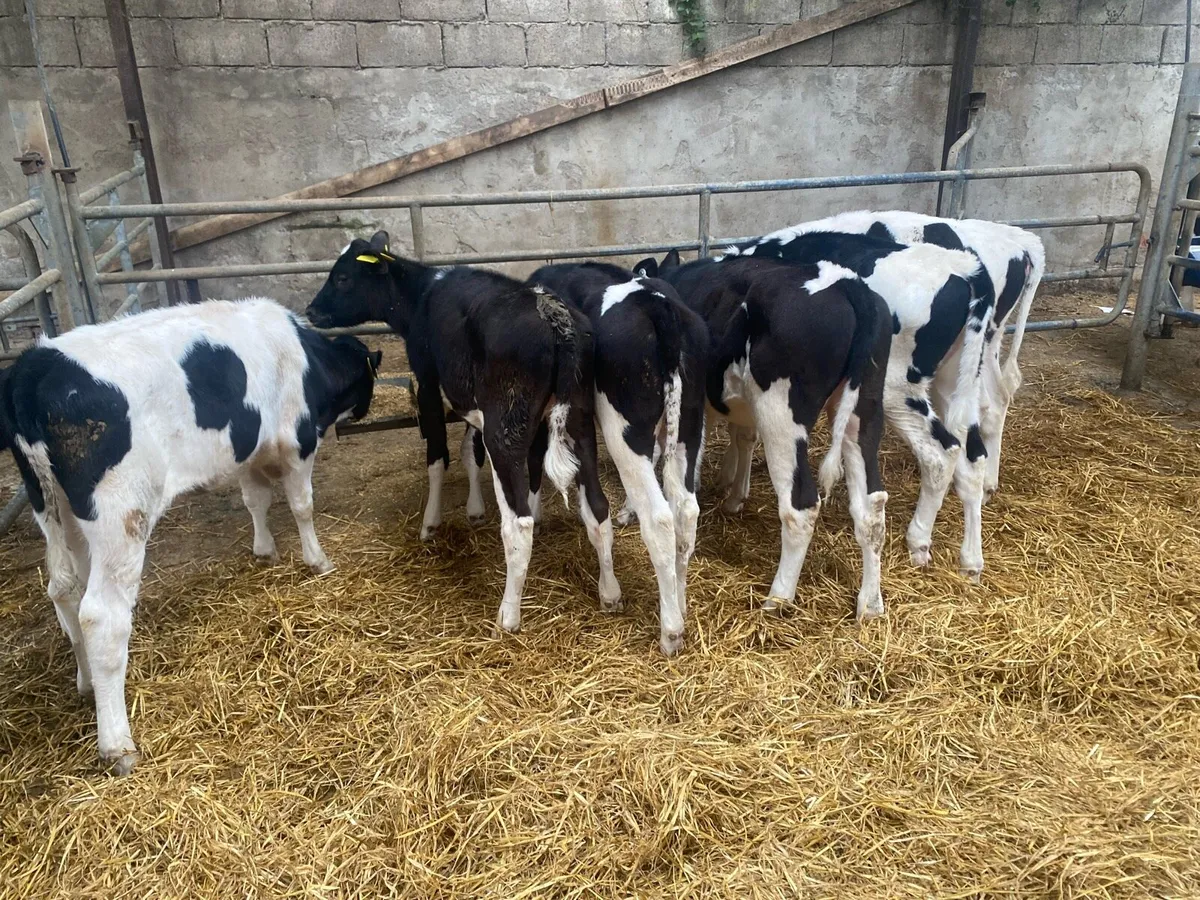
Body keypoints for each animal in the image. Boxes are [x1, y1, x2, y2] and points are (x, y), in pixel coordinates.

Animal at [0, 298, 381, 774]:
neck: (302, 354)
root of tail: (34, 366)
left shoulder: (248, 448)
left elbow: (255, 499)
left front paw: (265, 551)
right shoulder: (296, 441)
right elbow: (301, 506)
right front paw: (318, 561)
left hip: (56, 510)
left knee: (65, 590)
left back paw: (86, 683)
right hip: (121, 514)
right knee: (102, 616)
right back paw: (117, 744)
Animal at [304, 233, 639, 648]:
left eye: (343, 277)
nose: (311, 311)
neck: (422, 296)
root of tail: (553, 315)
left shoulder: (429, 384)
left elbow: (438, 458)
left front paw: (430, 524)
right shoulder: (472, 403)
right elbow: (471, 452)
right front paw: (476, 510)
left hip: (505, 426)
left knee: (518, 524)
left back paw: (508, 616)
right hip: (579, 420)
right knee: (597, 505)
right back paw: (609, 593)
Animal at [527, 262, 708, 652]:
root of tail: (658, 306)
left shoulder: (575, 414)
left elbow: (594, 506)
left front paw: (609, 594)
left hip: (622, 431)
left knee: (660, 520)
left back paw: (671, 631)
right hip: (689, 425)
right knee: (686, 512)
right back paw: (680, 604)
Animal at [635, 252, 892, 619]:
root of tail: (846, 282)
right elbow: (743, 438)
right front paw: (734, 496)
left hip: (780, 415)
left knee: (801, 505)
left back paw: (778, 597)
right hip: (865, 408)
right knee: (872, 506)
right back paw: (870, 603)